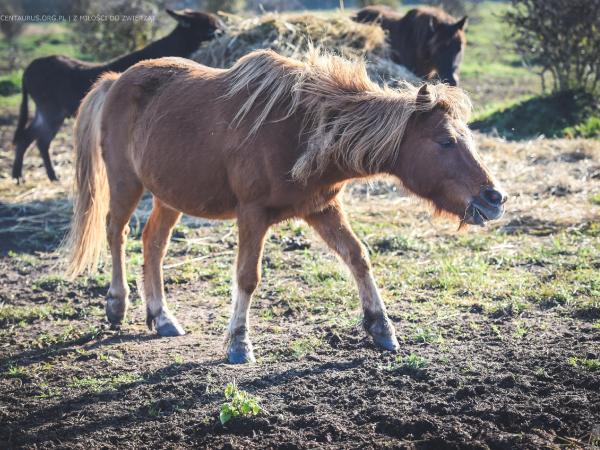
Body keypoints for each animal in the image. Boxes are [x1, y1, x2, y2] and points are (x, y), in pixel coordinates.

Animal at [11, 8, 223, 182]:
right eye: (209, 27)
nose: (222, 32)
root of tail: (29, 67)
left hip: (47, 112)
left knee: (29, 137)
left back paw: (26, 175)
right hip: (52, 112)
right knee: (38, 139)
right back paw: (35, 176)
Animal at [64, 49, 506, 364]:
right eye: (446, 141)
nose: (495, 198)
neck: (306, 129)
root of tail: (116, 81)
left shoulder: (322, 209)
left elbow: (358, 257)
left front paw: (381, 327)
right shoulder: (252, 215)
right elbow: (248, 277)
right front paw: (238, 344)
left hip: (168, 195)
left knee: (153, 243)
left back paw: (162, 316)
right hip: (126, 182)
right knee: (116, 232)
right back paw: (117, 305)